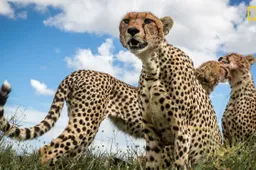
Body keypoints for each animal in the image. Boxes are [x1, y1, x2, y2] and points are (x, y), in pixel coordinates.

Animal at [120, 11, 222, 169]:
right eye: (126, 21)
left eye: (148, 21)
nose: (132, 30)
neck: (152, 66)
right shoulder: (151, 131)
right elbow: (152, 162)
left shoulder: (182, 129)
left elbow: (179, 162)